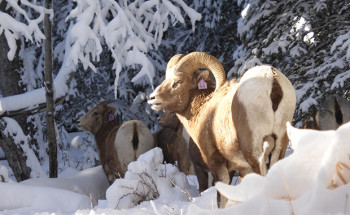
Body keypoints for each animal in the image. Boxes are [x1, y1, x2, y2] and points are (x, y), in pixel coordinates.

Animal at [148, 51, 296, 207]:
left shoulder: (216, 163)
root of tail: (272, 81)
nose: (152, 98)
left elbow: (221, 198)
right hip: (279, 149)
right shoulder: (243, 169)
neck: (203, 108)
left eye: (178, 82)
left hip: (255, 154)